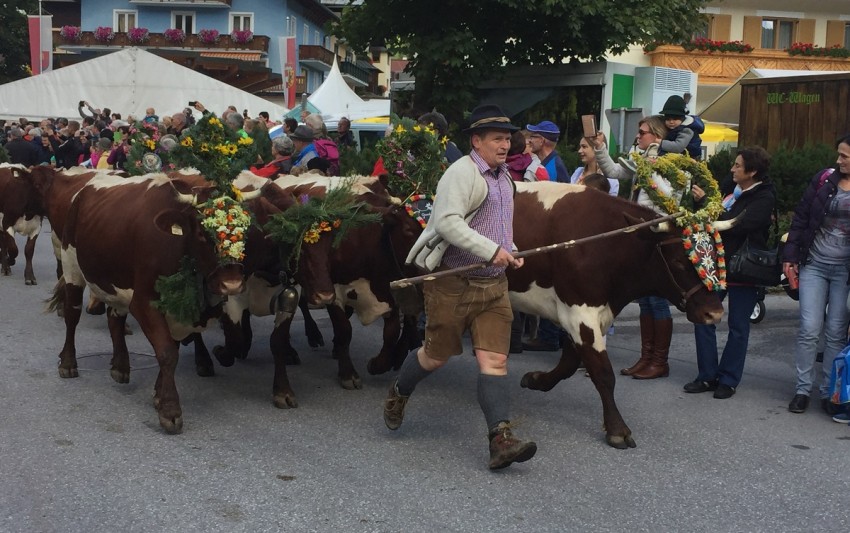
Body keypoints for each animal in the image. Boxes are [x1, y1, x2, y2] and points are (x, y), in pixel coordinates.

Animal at [46, 172, 245, 434]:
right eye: (202, 233)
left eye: (246, 231)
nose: (232, 284)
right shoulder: (144, 302)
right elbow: (167, 352)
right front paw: (170, 410)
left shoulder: (175, 308)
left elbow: (171, 348)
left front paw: (159, 395)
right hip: (71, 265)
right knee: (72, 315)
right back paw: (68, 363)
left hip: (116, 283)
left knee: (114, 319)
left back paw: (120, 366)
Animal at [504, 181, 724, 446]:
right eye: (679, 262)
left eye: (716, 256)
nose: (714, 314)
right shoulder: (579, 313)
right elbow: (603, 372)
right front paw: (617, 428)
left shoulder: (587, 315)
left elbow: (569, 363)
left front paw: (537, 380)